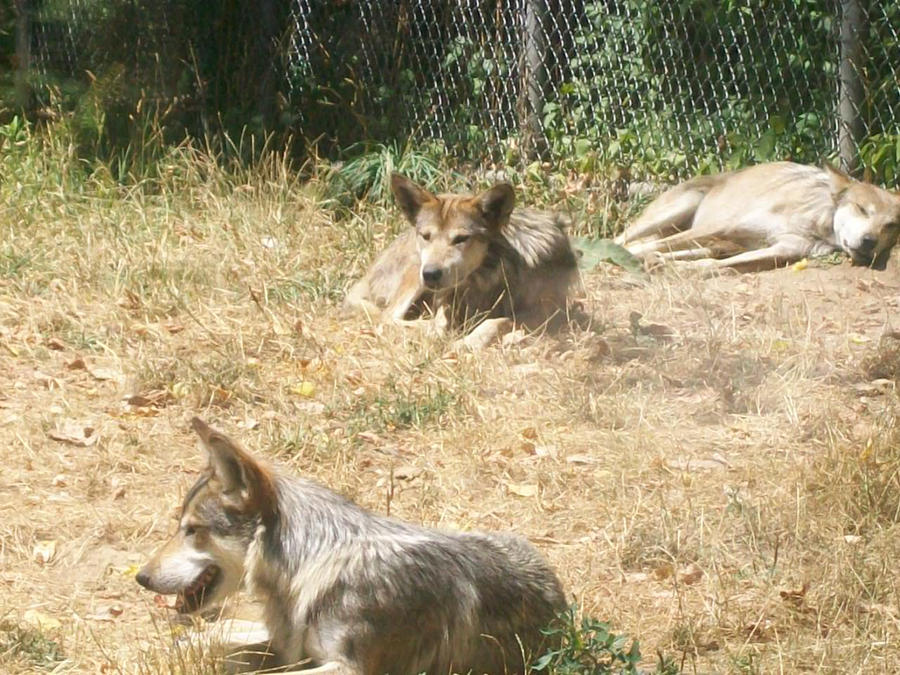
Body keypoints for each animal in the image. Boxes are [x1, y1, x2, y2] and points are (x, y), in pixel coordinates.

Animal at [137, 420, 568, 672]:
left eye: (192, 530)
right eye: (180, 527)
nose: (141, 577)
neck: (314, 566)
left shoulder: (347, 667)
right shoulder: (294, 649)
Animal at [616, 162, 900, 272]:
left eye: (891, 226)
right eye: (862, 209)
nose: (870, 242)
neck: (816, 224)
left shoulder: (782, 252)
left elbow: (719, 266)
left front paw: (680, 268)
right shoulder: (721, 226)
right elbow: (649, 245)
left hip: (722, 243)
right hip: (682, 212)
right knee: (624, 239)